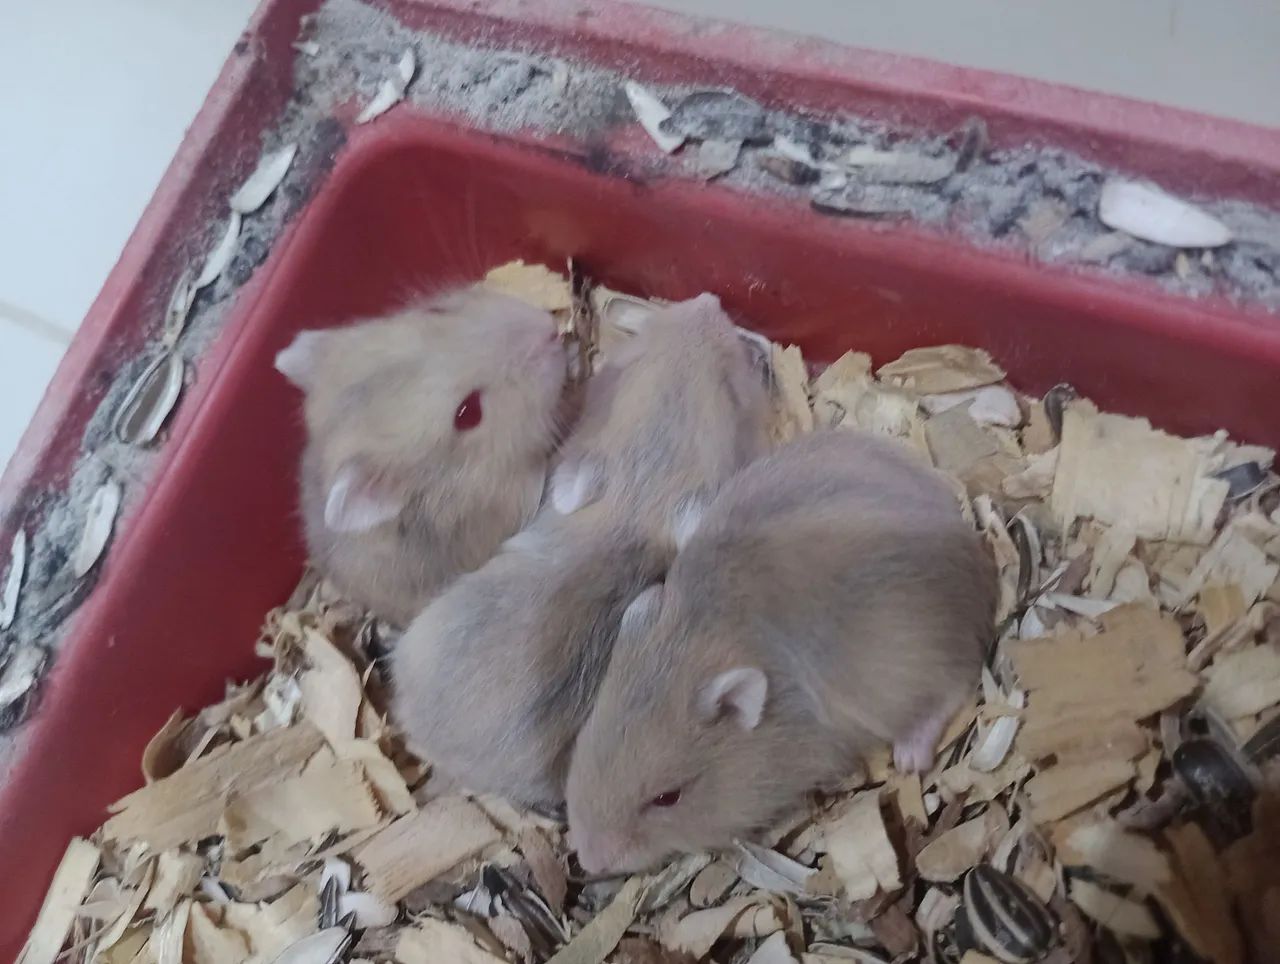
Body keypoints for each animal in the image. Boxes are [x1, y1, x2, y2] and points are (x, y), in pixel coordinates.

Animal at [565, 429, 995, 874]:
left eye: (668, 798)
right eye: (581, 746)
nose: (589, 862)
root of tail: (979, 566)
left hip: (913, 670)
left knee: (953, 690)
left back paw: (910, 756)